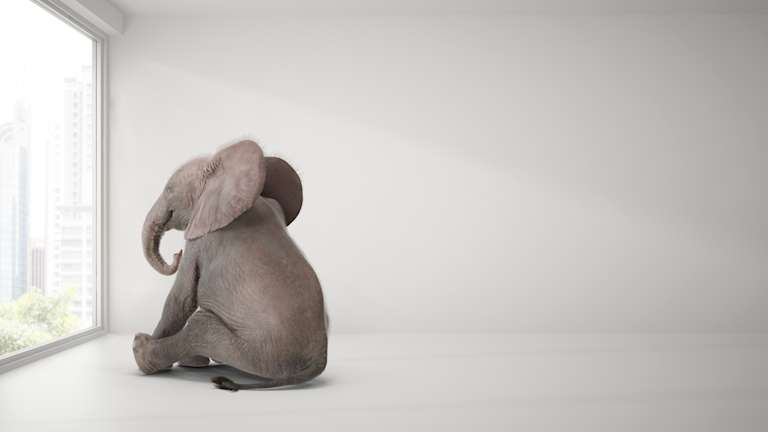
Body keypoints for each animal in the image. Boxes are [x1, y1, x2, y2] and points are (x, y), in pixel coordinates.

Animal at [132, 140, 327, 391]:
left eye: (169, 189)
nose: (176, 253)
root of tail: (318, 361)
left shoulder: (201, 238)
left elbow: (181, 299)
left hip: (259, 352)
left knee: (200, 326)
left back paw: (143, 351)